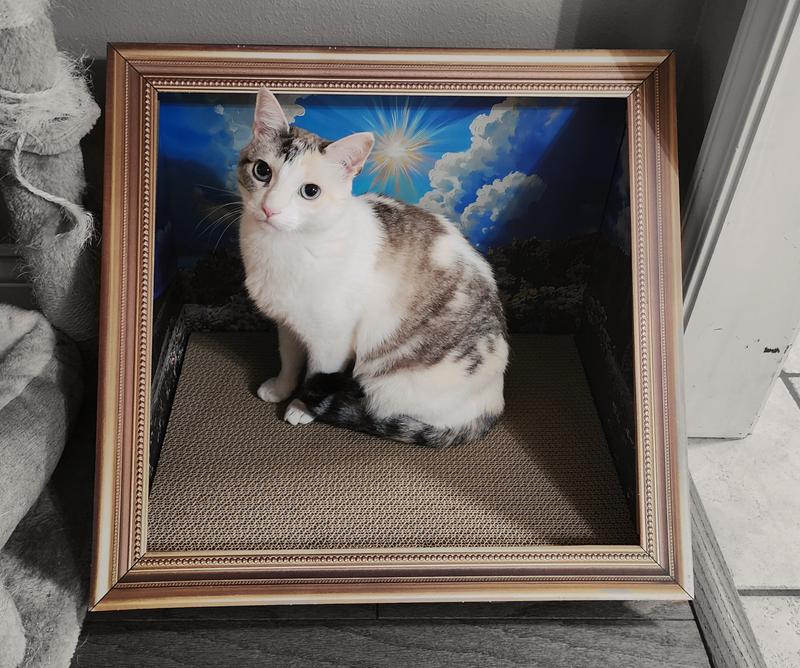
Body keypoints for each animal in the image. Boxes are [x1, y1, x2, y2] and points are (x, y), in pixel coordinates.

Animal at [237, 88, 508, 447]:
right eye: (262, 171)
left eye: (310, 191)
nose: (271, 209)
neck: (282, 248)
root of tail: (492, 404)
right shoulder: (288, 323)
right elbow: (290, 360)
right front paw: (282, 388)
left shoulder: (333, 339)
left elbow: (315, 375)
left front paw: (301, 406)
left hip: (392, 385)